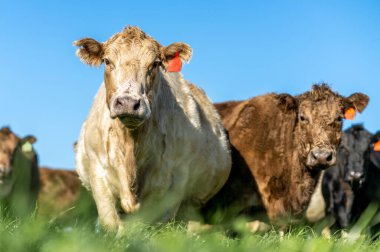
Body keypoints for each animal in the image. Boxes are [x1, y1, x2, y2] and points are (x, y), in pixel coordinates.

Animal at [72, 25, 230, 232]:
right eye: (107, 61)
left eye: (155, 64)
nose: (128, 103)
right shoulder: (98, 172)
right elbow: (110, 223)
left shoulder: (175, 185)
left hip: (192, 202)